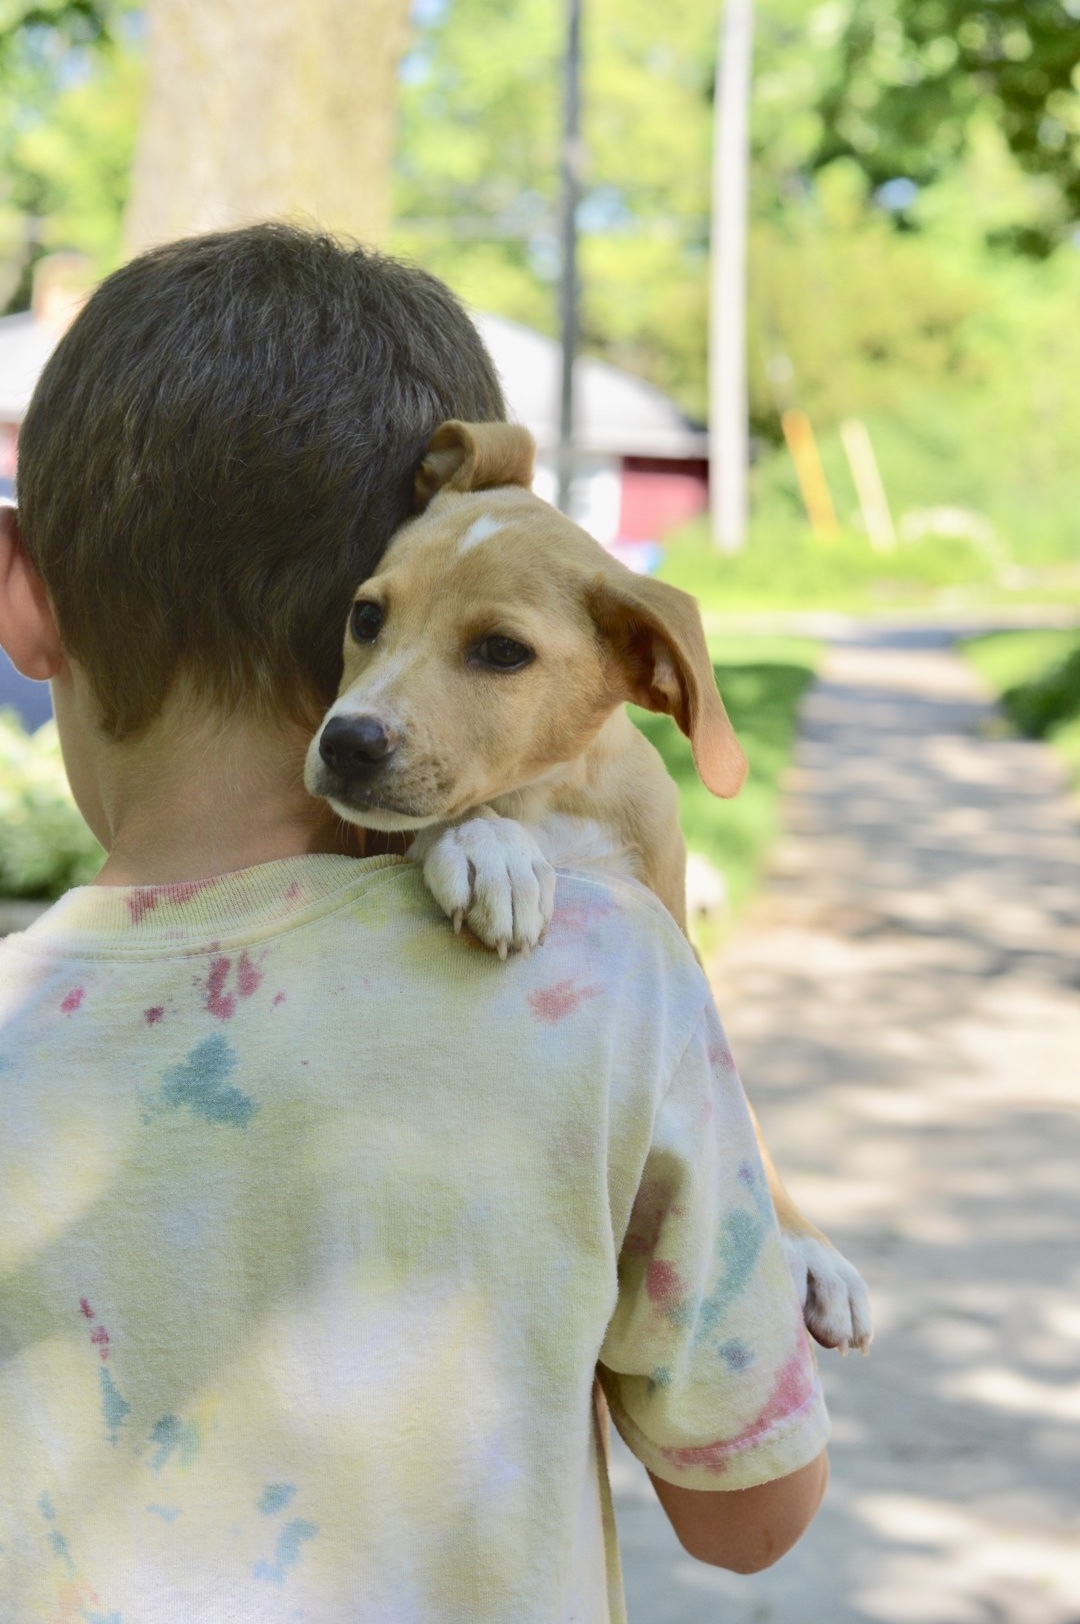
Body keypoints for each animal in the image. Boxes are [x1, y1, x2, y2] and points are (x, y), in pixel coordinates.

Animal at [303, 422, 870, 1357]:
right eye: (367, 617)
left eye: (503, 652)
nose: (346, 742)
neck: (557, 797)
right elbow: (452, 819)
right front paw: (491, 848)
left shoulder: (688, 959)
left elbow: (746, 1115)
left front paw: (805, 1242)